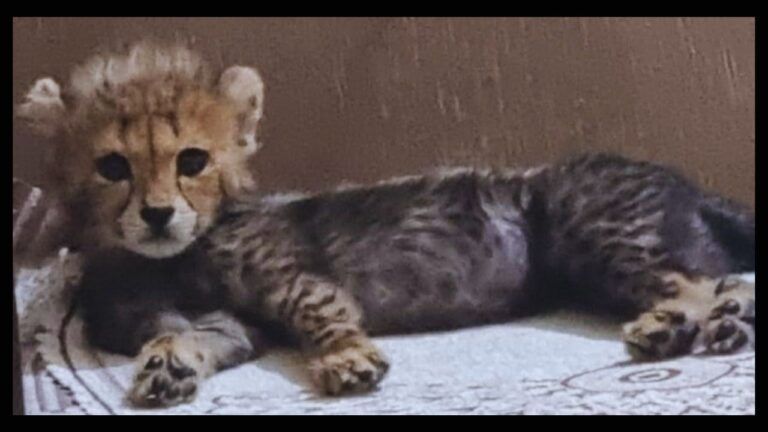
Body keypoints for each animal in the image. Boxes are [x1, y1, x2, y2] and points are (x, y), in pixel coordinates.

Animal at [16, 40, 755, 408]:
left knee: (700, 282)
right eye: (113, 167)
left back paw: (682, 323)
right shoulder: (227, 324)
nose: (158, 214)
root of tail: (683, 180)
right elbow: (186, 335)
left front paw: (346, 357)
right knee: (725, 280)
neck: (168, 259)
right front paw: (168, 364)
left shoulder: (291, 279)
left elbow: (320, 310)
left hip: (591, 226)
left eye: (191, 160)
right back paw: (708, 322)